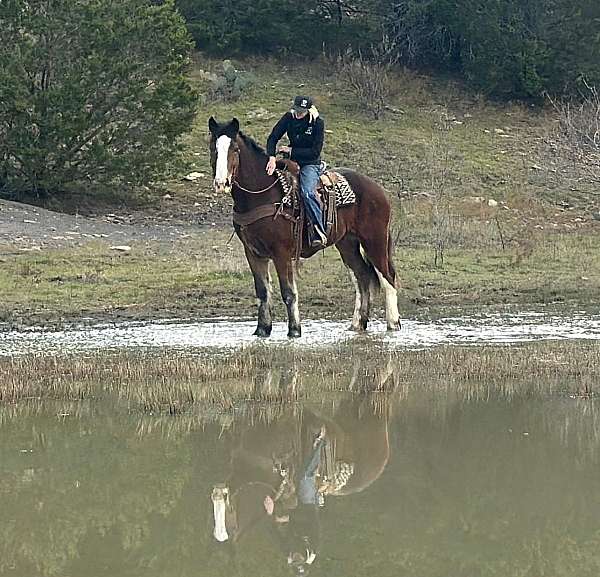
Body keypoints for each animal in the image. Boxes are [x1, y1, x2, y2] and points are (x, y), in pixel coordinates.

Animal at [209, 114, 400, 336]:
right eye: (214, 147)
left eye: (235, 149)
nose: (221, 183)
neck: (261, 195)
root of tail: (379, 189)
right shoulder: (253, 253)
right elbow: (263, 292)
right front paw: (262, 330)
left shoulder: (281, 253)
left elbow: (288, 292)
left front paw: (294, 330)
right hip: (347, 244)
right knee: (362, 277)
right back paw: (357, 325)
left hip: (375, 240)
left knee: (388, 278)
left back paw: (393, 324)